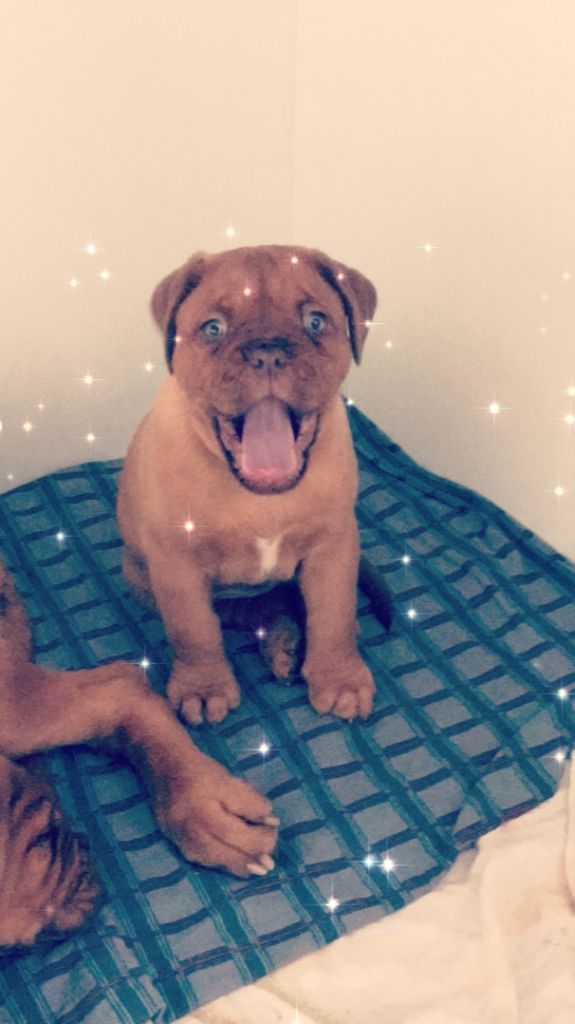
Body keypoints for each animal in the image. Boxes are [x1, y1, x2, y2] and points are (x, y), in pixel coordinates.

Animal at [117, 244, 389, 727]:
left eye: (315, 321)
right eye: (213, 328)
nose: (268, 354)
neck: (261, 498)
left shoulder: (334, 545)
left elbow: (333, 615)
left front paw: (338, 676)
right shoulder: (177, 561)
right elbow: (195, 630)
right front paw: (203, 686)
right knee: (251, 609)